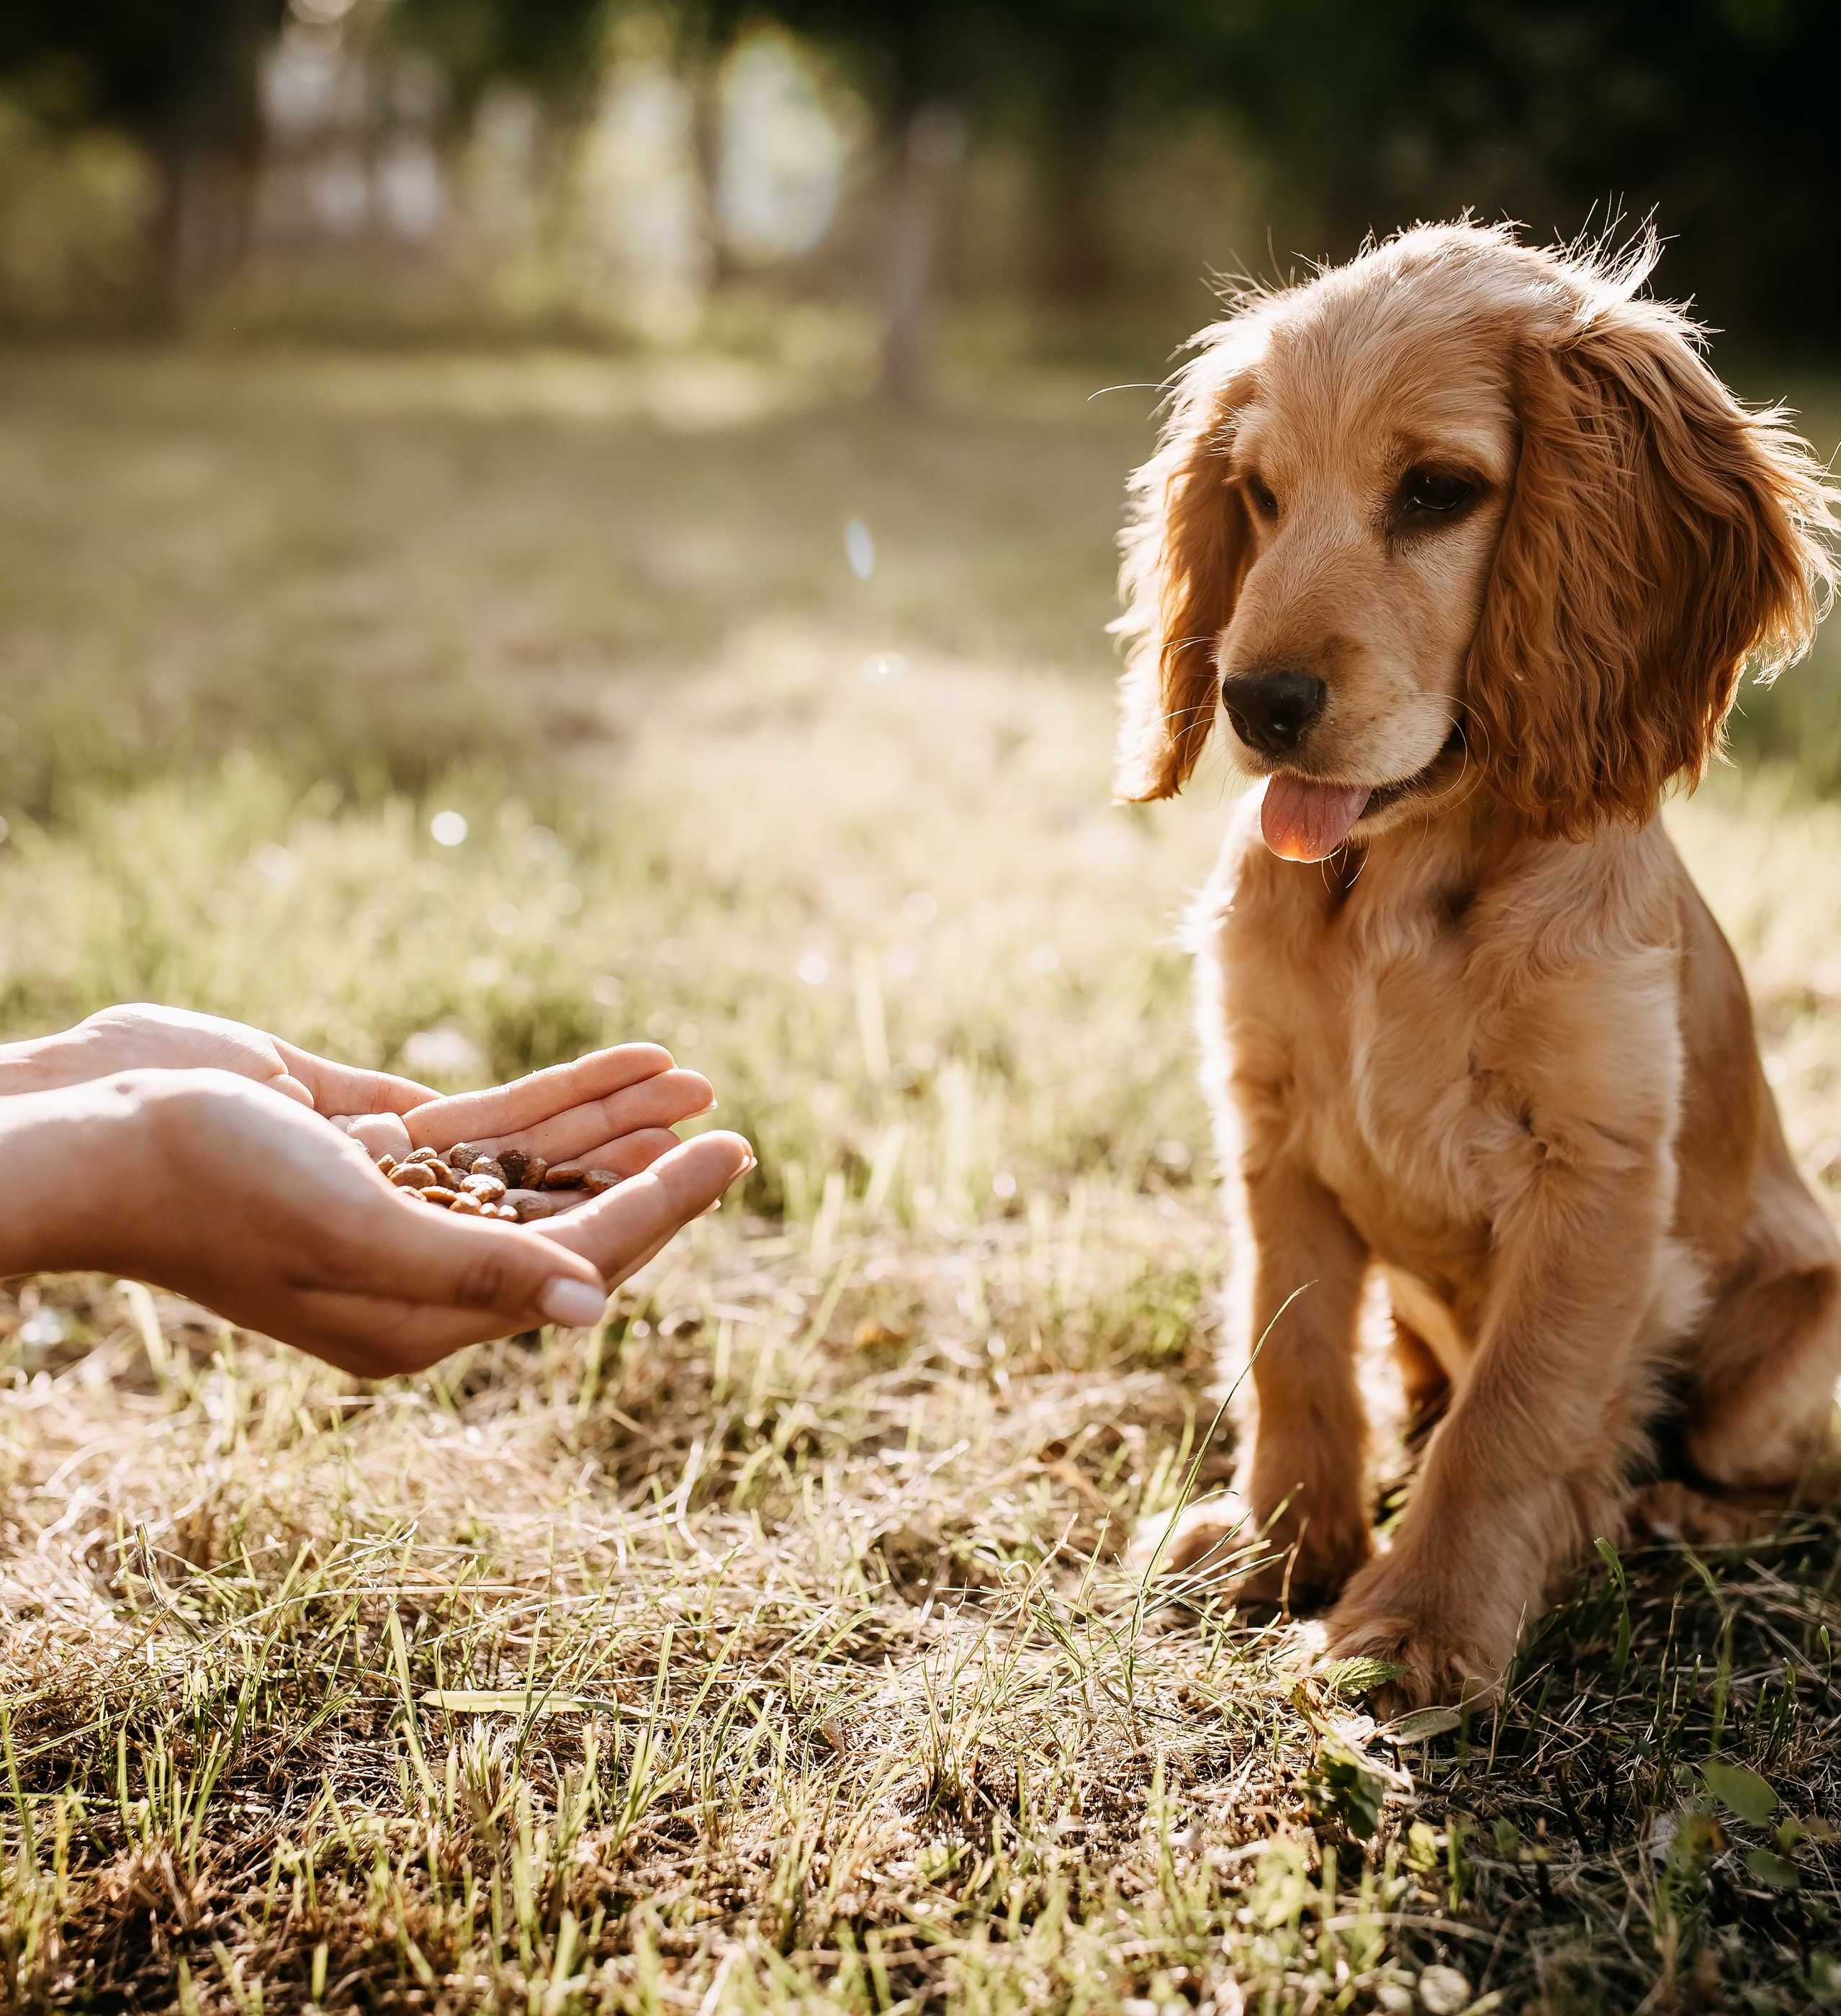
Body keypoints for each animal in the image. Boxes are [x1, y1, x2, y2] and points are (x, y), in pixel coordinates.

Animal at [1112, 232, 1839, 1717]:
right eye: (1258, 495)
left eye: (1438, 491)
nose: (1254, 701)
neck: (1395, 890)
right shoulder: (1270, 1130)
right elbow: (1291, 1356)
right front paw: (1278, 1545)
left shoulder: (1595, 1172)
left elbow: (1515, 1415)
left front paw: (1416, 1621)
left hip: (1781, 1362)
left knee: (1792, 1478)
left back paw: (1668, 1512)